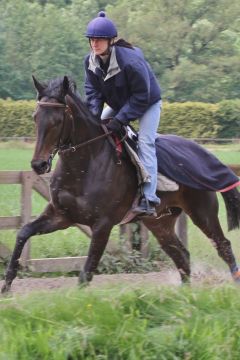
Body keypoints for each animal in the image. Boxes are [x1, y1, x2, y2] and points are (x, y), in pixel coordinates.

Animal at [1, 76, 240, 292]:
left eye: (58, 120)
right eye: (35, 117)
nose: (38, 165)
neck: (85, 165)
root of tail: (204, 152)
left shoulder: (102, 225)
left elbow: (86, 273)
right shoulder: (61, 216)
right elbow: (23, 233)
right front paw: (7, 285)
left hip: (202, 212)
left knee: (223, 246)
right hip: (160, 222)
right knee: (181, 255)